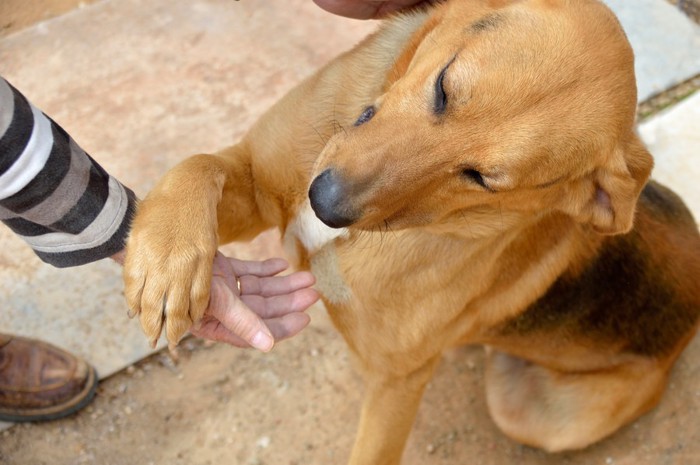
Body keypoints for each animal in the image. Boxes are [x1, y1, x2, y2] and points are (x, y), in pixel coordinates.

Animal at [123, 1, 700, 462]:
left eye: (481, 178)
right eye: (444, 87)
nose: (324, 203)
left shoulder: (394, 386)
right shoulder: (254, 181)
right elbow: (195, 167)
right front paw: (165, 263)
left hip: (535, 416)